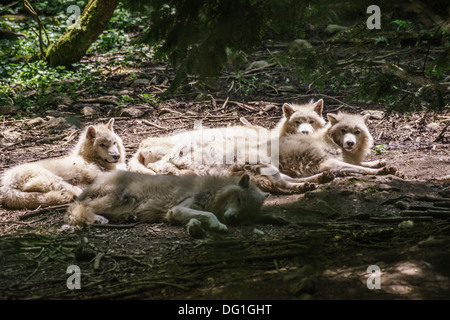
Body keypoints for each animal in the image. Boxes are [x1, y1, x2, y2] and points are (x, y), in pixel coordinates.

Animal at [65, 172, 282, 238]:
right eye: (238, 200)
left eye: (246, 214)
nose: (233, 218)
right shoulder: (177, 208)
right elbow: (209, 215)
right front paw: (218, 225)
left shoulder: (175, 213)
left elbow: (199, 217)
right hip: (116, 201)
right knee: (76, 207)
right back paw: (96, 219)